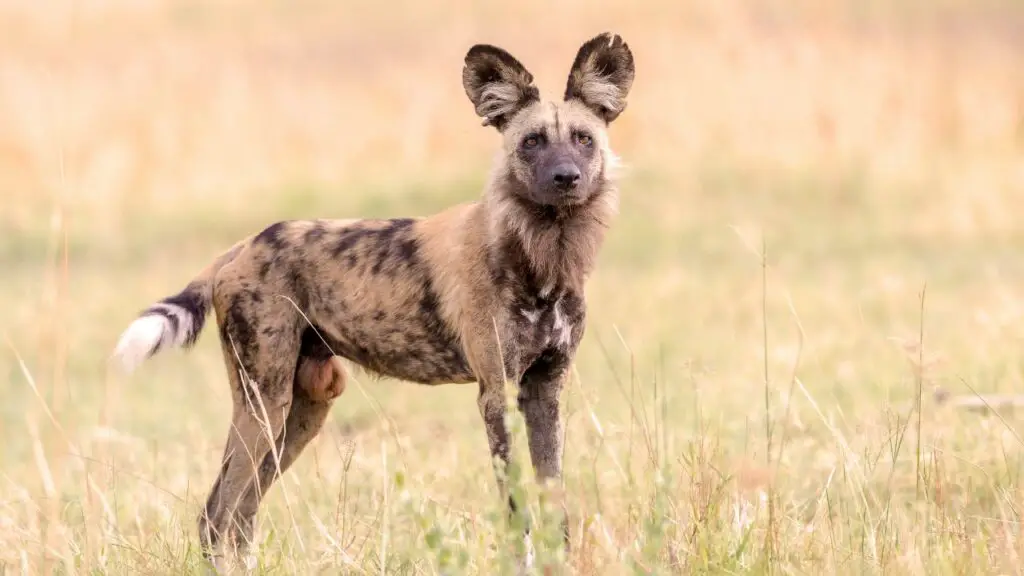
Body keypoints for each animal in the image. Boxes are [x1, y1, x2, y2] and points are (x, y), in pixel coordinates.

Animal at [116, 31, 634, 561]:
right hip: (265, 404)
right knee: (217, 516)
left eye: (583, 139)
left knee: (239, 516)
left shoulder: (545, 389)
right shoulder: (499, 394)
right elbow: (516, 509)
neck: (542, 257)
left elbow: (555, 506)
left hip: (304, 410)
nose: (566, 177)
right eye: (532, 142)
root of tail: (244, 245)